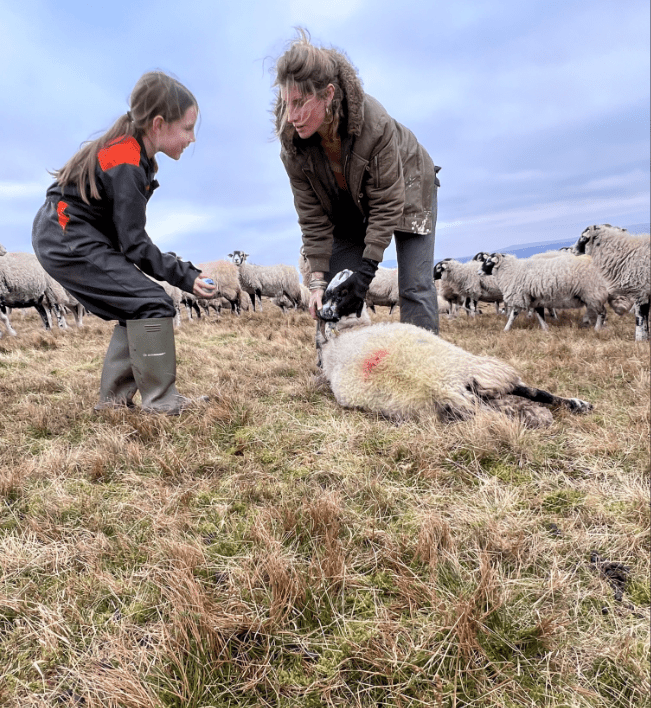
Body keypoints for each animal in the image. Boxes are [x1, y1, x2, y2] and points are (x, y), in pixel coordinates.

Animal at [318, 270, 596, 426]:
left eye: (340, 292)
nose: (345, 268)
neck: (347, 332)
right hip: (482, 372)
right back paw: (572, 406)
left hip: (482, 382)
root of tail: (445, 386)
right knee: (533, 394)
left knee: (528, 398)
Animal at [478, 253, 612, 334]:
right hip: (590, 295)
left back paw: (597, 328)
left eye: (489, 262)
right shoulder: (536, 300)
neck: (511, 271)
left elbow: (512, 316)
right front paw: (546, 329)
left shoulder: (519, 298)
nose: (478, 272)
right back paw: (593, 323)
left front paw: (506, 329)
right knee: (595, 310)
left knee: (602, 312)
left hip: (592, 292)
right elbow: (540, 315)